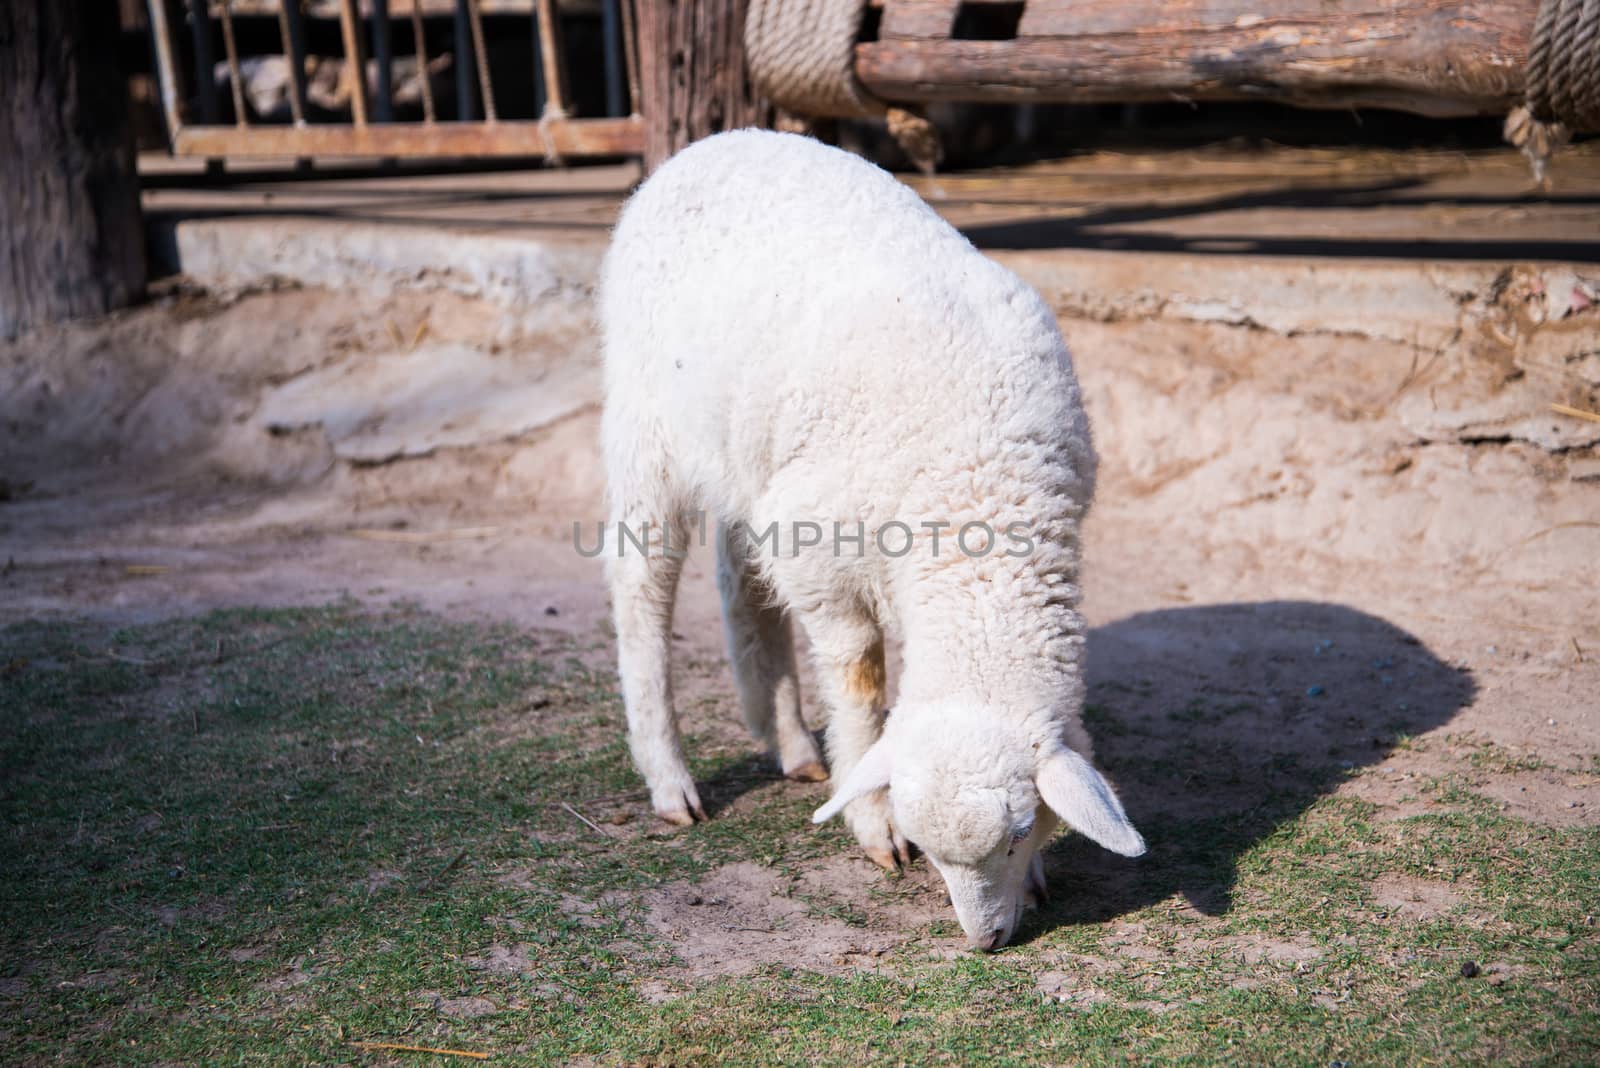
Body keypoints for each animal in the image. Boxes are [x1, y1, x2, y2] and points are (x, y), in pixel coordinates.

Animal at [598, 127, 1139, 952]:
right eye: (930, 849)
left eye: (1020, 831)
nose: (986, 942)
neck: (977, 489)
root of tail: (716, 141)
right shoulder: (822, 555)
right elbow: (857, 674)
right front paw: (873, 823)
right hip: (645, 421)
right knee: (642, 590)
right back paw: (671, 780)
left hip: (749, 455)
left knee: (739, 578)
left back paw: (789, 743)